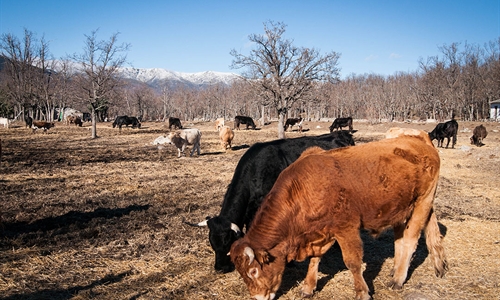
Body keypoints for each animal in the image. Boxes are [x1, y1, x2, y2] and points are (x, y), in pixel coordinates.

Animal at [229, 133, 446, 300]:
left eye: (253, 271)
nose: (258, 297)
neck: (302, 188)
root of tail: (419, 139)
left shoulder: (346, 229)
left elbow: (353, 262)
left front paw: (362, 292)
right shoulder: (319, 233)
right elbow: (315, 259)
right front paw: (308, 287)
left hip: (422, 202)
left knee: (410, 240)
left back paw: (398, 278)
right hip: (402, 208)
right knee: (402, 238)